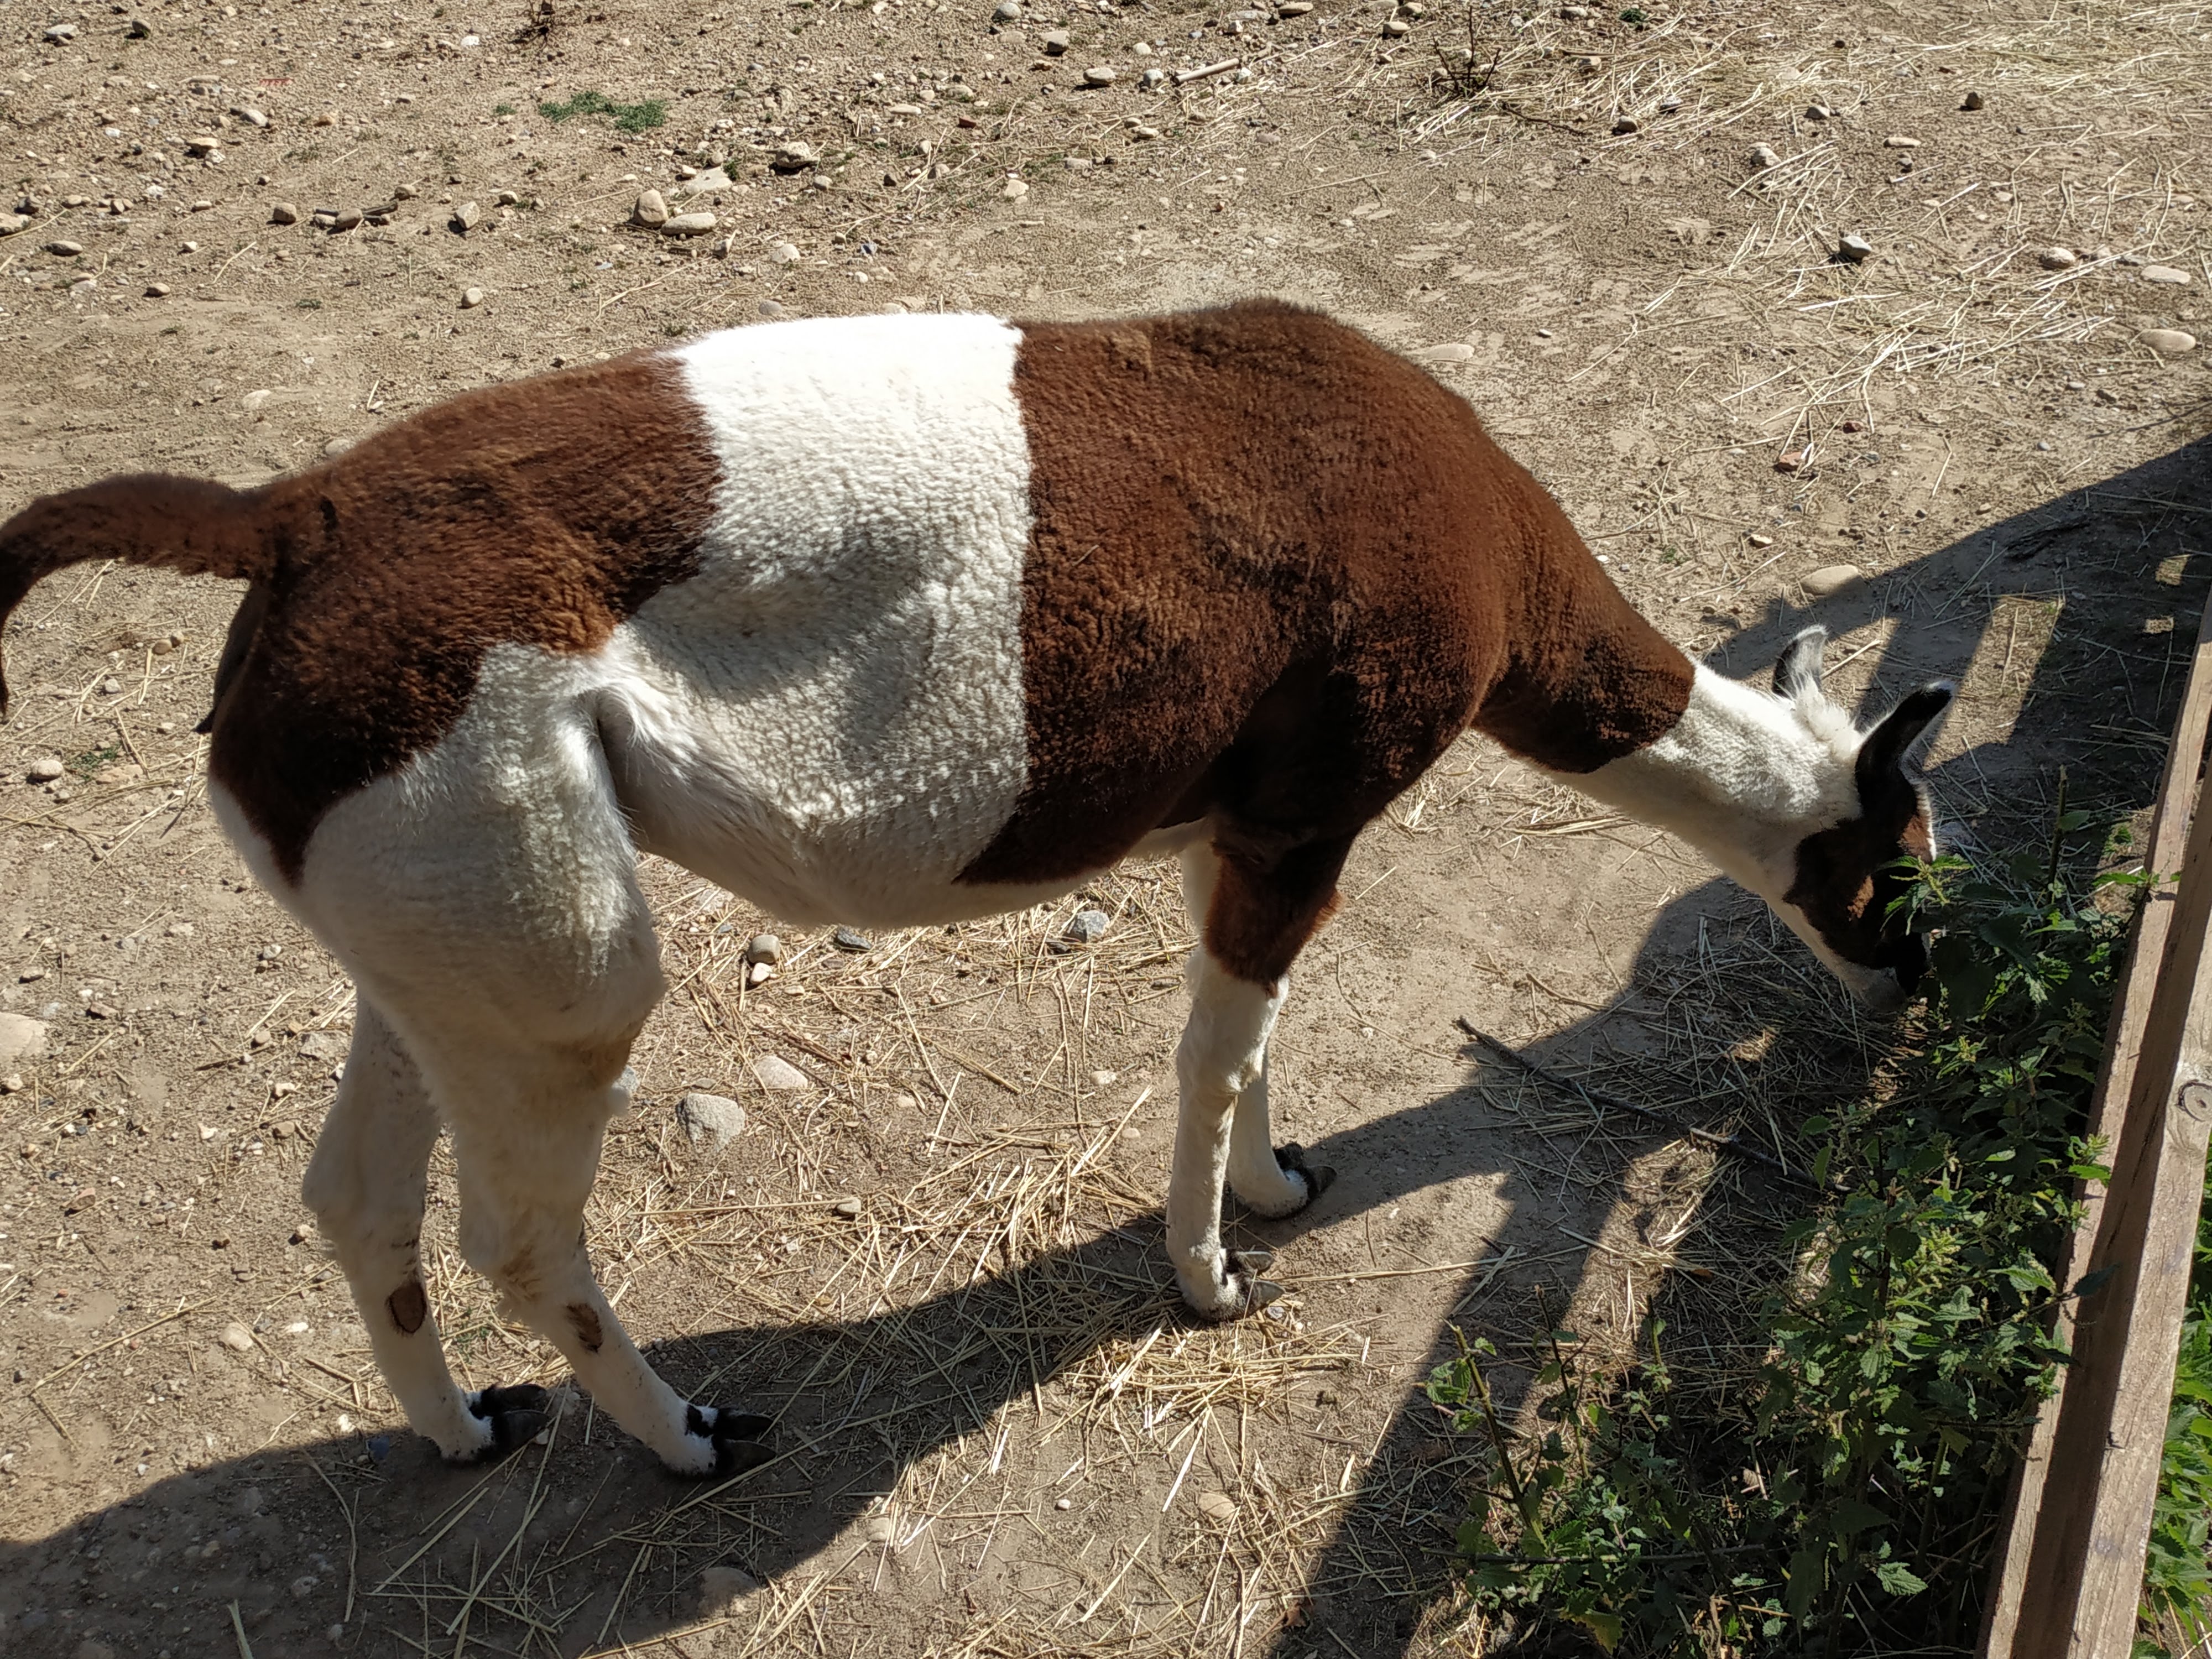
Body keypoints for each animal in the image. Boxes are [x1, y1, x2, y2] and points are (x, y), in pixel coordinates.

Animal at [0, 301, 1950, 1476]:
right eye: (1902, 878)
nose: (1916, 993)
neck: (1482, 551)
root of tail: (289, 522)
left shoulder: (1242, 830)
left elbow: (1259, 1040)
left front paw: (1283, 1188)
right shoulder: (1304, 810)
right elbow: (1212, 1056)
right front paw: (1208, 1275)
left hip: (420, 918)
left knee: (356, 1192)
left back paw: (466, 1430)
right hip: (535, 926)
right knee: (522, 1229)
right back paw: (685, 1436)